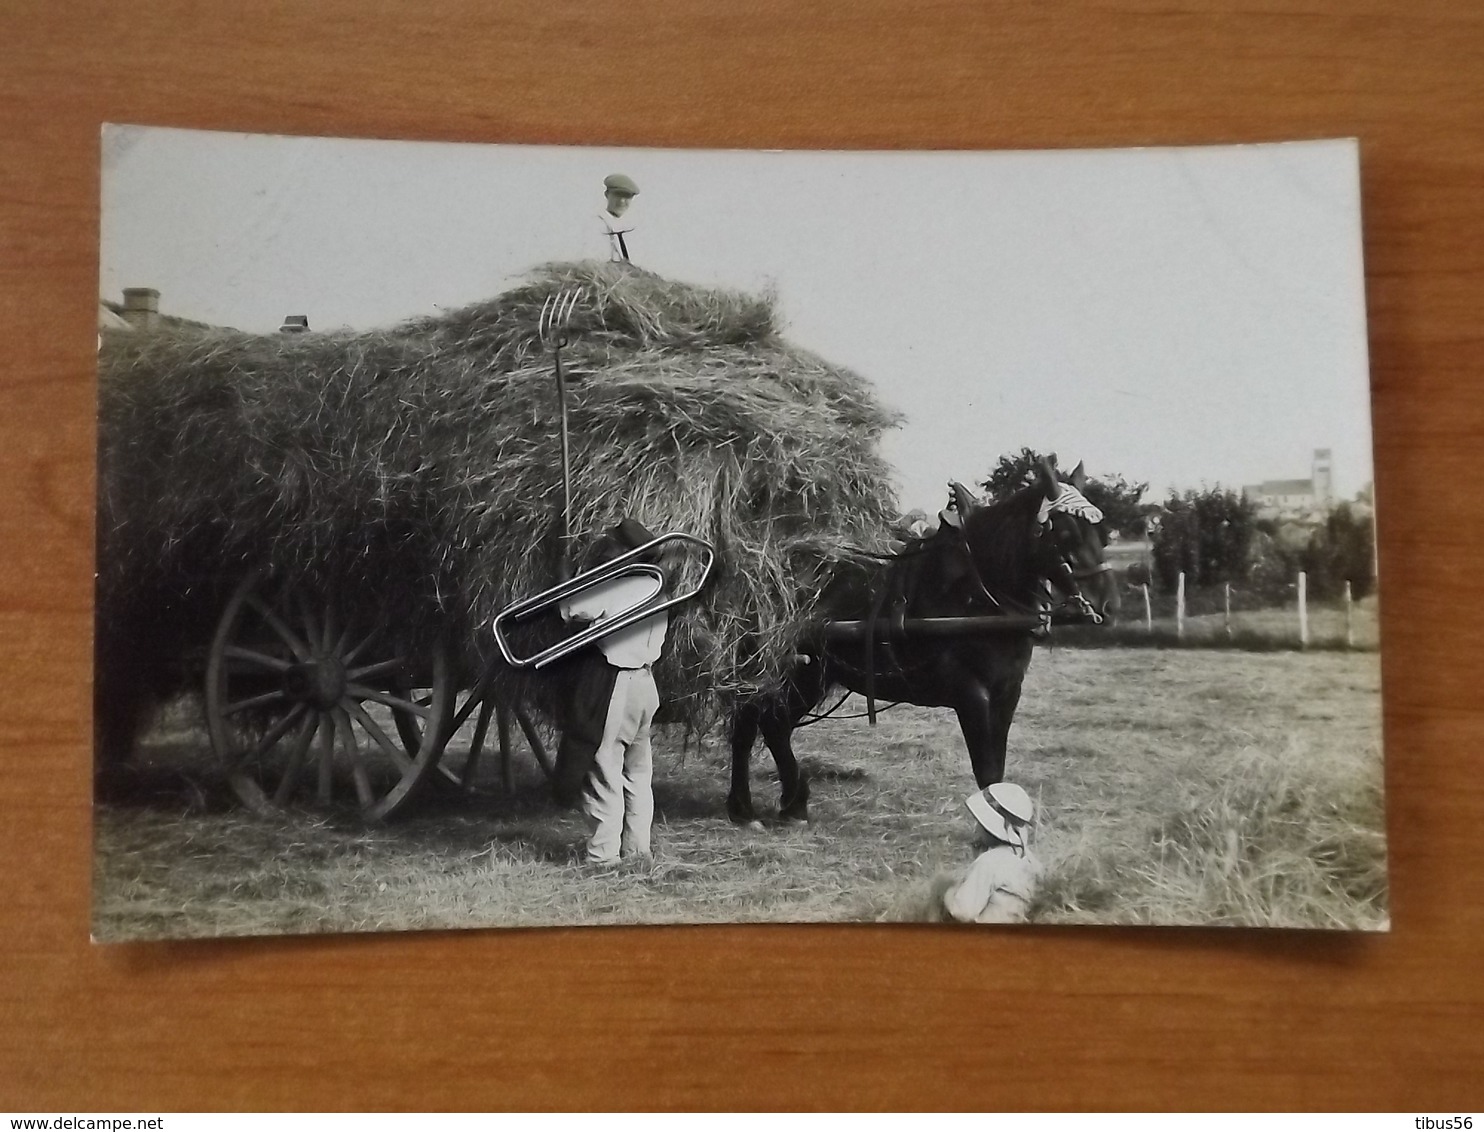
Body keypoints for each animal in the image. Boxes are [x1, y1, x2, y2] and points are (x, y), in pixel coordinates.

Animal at [724, 456, 1115, 824]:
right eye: (1065, 532)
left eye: (1102, 530)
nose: (1108, 603)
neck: (976, 596)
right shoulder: (971, 694)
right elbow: (986, 770)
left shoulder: (1007, 693)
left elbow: (998, 768)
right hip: (781, 672)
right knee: (755, 724)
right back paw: (747, 808)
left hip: (808, 676)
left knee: (772, 725)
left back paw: (789, 804)